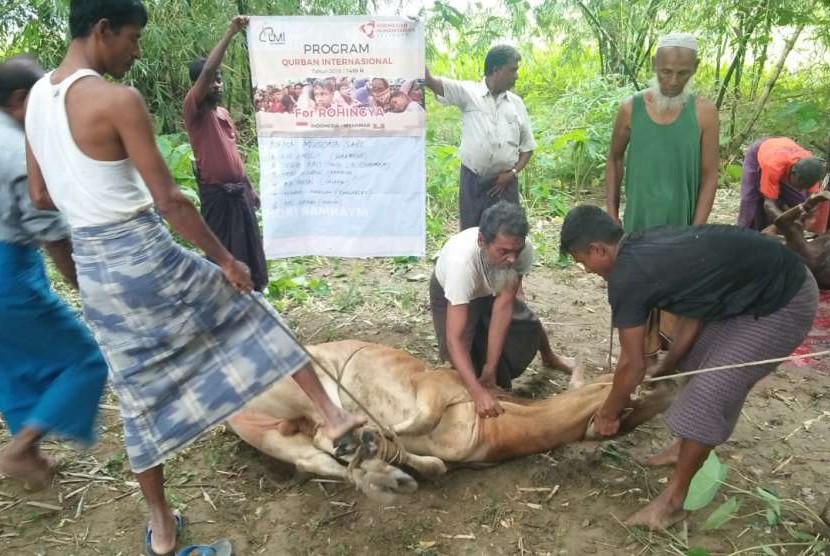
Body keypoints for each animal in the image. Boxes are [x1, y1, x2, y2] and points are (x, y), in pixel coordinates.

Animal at [228, 338, 676, 500]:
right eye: (620, 396)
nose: (664, 392)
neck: (494, 429)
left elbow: (434, 463)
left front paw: (384, 458)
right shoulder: (435, 388)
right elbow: (410, 425)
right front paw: (372, 440)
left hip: (277, 437)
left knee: (316, 456)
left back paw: (382, 474)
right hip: (310, 381)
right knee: (326, 429)